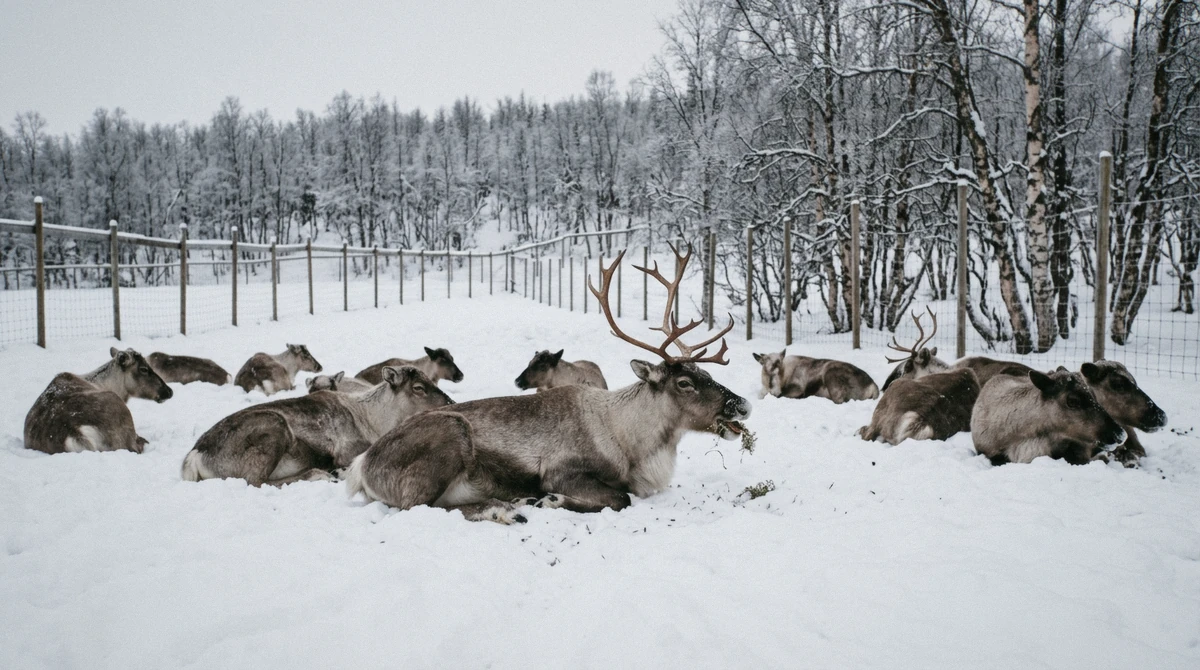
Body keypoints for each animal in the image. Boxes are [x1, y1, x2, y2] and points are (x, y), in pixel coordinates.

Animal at [182, 366, 453, 486]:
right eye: (418, 387)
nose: (451, 402)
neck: (374, 420)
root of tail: (195, 455)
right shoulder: (347, 451)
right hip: (273, 427)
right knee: (255, 480)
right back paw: (319, 474)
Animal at [345, 243, 751, 524]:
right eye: (684, 382)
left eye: (708, 375)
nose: (743, 404)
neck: (634, 444)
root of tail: (362, 466)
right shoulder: (562, 472)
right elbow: (620, 499)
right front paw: (553, 500)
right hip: (450, 435)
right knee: (420, 507)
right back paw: (508, 509)